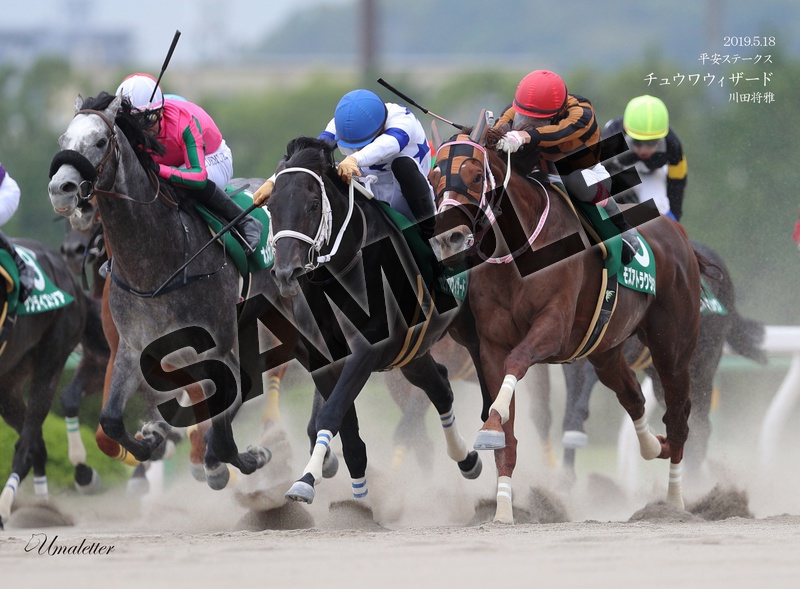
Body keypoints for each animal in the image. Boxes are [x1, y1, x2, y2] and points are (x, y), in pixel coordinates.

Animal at [0, 237, 109, 528]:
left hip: (51, 360)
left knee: (27, 446)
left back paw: (10, 508)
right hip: (9, 380)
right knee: (38, 445)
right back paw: (42, 509)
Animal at [47, 91, 283, 491]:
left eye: (100, 141)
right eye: (64, 140)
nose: (60, 190)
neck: (154, 266)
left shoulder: (216, 340)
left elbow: (227, 409)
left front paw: (235, 459)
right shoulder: (131, 348)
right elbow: (110, 421)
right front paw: (150, 442)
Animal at [265, 136, 485, 505]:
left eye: (313, 203)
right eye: (270, 205)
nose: (286, 273)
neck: (341, 274)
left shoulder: (367, 351)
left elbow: (331, 413)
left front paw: (307, 481)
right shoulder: (324, 360)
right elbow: (348, 434)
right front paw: (355, 500)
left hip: (465, 326)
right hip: (413, 353)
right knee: (440, 387)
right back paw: (466, 458)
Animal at [430, 119, 703, 523]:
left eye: (477, 175)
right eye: (434, 177)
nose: (449, 237)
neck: (520, 256)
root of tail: (678, 232)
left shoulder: (553, 328)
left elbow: (517, 363)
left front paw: (491, 420)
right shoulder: (492, 345)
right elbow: (506, 438)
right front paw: (503, 508)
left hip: (672, 346)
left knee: (679, 416)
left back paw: (674, 502)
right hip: (605, 350)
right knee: (633, 397)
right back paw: (654, 446)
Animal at [559, 239, 766, 479]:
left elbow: (584, 395)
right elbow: (572, 404)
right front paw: (565, 476)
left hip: (701, 366)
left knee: (701, 427)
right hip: (661, 379)